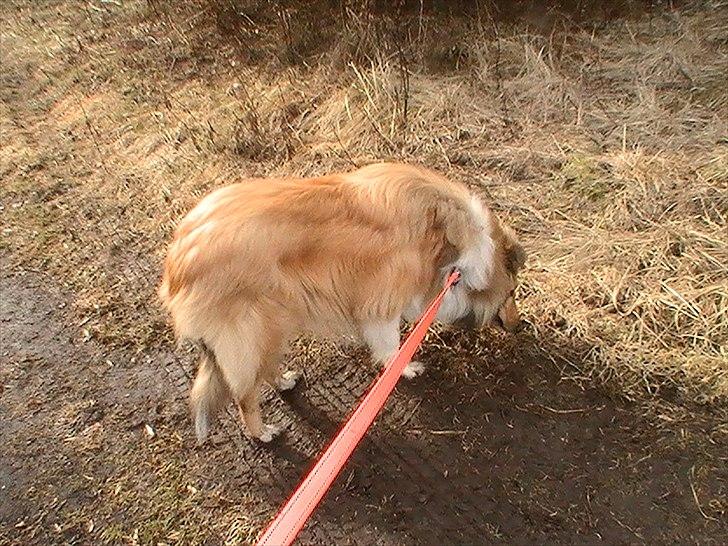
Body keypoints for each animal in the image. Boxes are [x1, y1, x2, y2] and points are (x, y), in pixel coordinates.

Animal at [159, 162, 528, 442]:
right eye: (512, 292)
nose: (519, 325)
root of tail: (177, 261)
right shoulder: (381, 305)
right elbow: (391, 347)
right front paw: (405, 368)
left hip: (273, 324)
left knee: (264, 369)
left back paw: (285, 382)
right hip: (251, 332)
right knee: (244, 393)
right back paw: (262, 432)